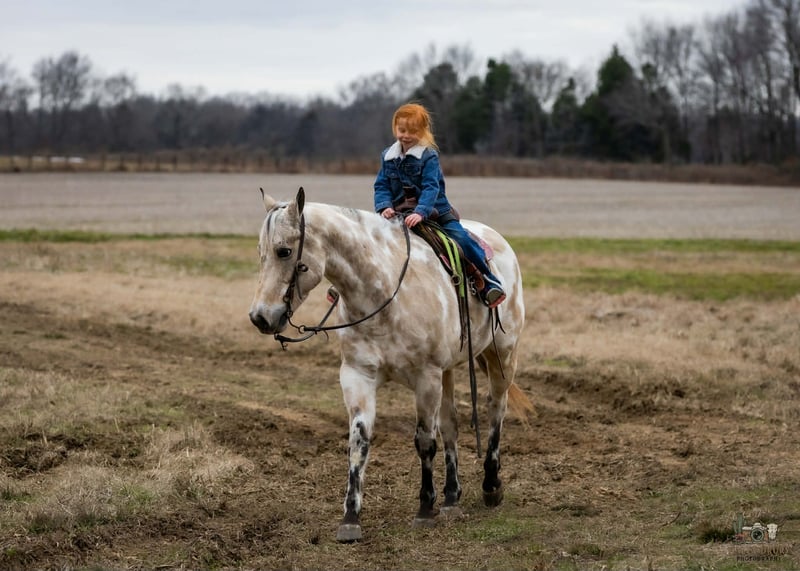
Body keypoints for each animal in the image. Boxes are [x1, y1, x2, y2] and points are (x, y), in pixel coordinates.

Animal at [248, 187, 530, 542]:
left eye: (284, 251)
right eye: (261, 253)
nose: (260, 317)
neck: (383, 292)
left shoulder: (426, 377)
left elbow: (425, 441)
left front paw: (424, 508)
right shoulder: (358, 375)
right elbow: (360, 440)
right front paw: (350, 517)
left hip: (502, 354)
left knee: (496, 410)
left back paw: (491, 486)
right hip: (449, 371)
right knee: (450, 423)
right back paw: (452, 498)